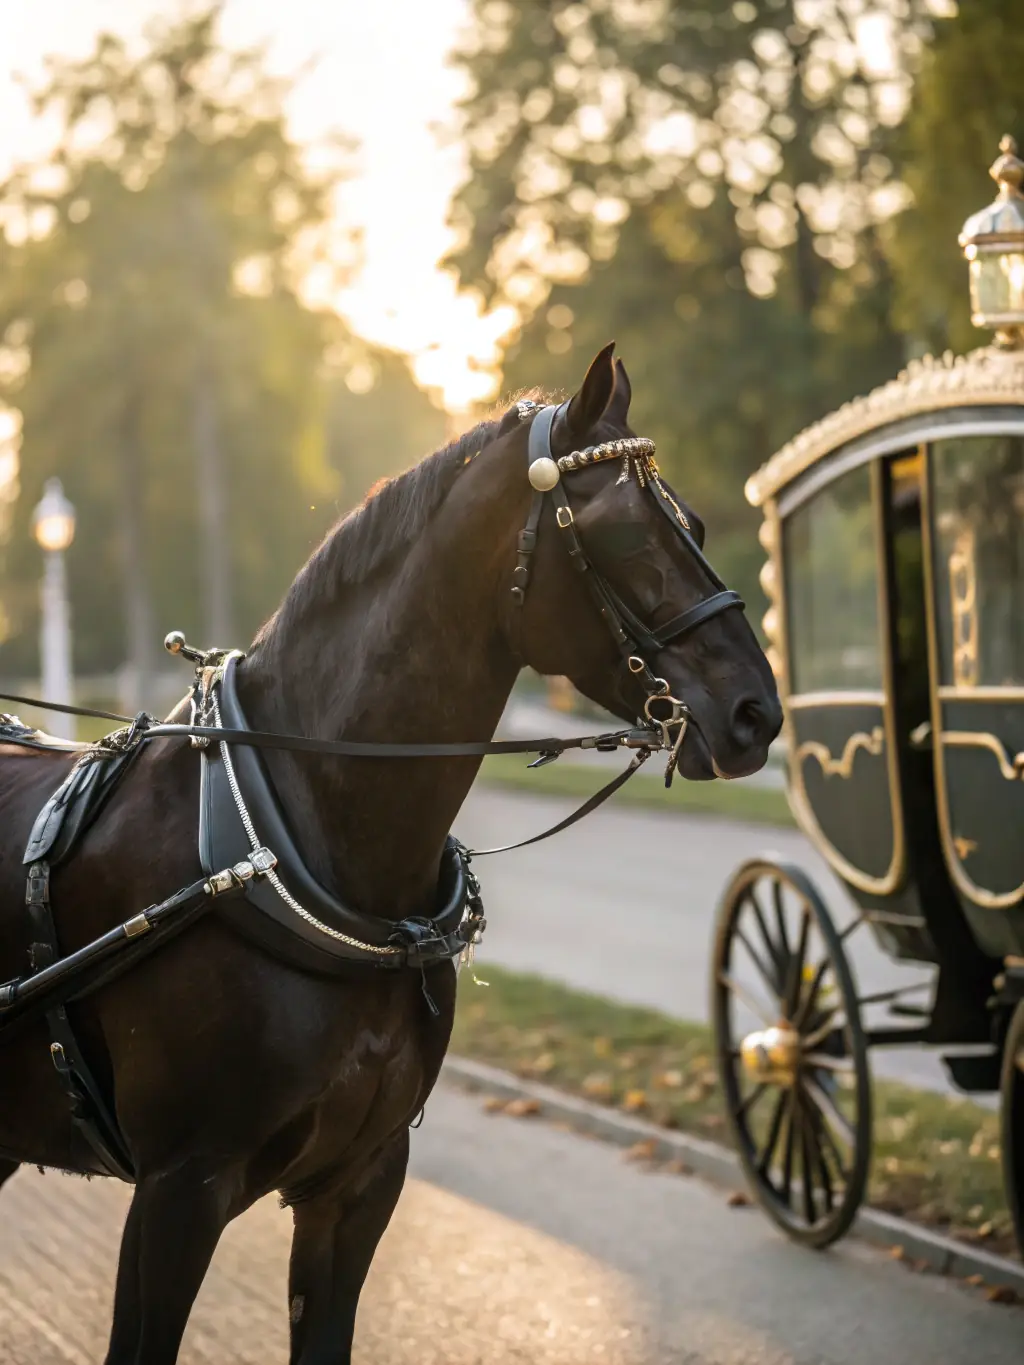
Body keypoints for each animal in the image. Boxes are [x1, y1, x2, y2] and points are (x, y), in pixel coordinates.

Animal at [0, 344, 781, 1363]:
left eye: (692, 520)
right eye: (619, 532)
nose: (757, 711)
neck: (297, 844)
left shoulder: (360, 1184)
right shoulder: (178, 1192)